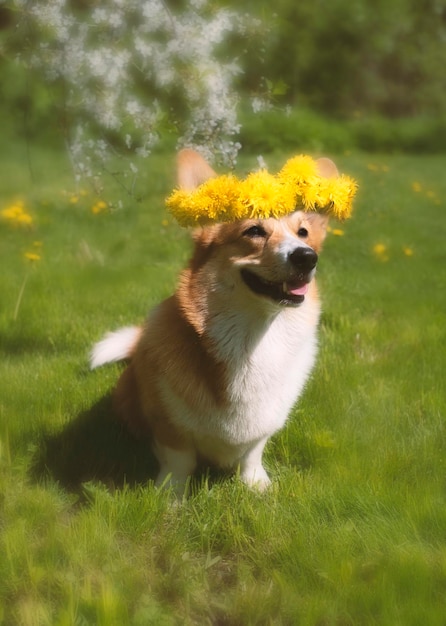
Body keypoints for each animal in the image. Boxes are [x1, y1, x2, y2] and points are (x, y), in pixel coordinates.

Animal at [90, 149, 336, 490]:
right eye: (254, 231)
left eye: (303, 233)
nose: (307, 257)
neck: (254, 338)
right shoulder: (169, 427)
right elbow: (179, 462)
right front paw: (170, 495)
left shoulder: (264, 426)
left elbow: (252, 454)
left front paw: (256, 486)